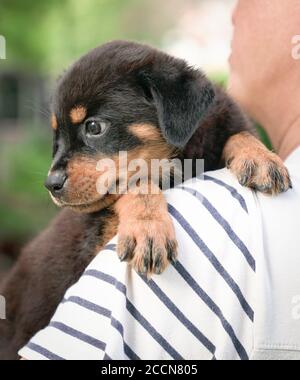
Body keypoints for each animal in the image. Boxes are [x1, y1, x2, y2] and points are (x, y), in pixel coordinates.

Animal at [0, 41, 290, 360]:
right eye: (57, 137)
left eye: (93, 127)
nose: (50, 184)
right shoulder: (95, 241)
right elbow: (137, 182)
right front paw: (148, 231)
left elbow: (237, 134)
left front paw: (260, 158)